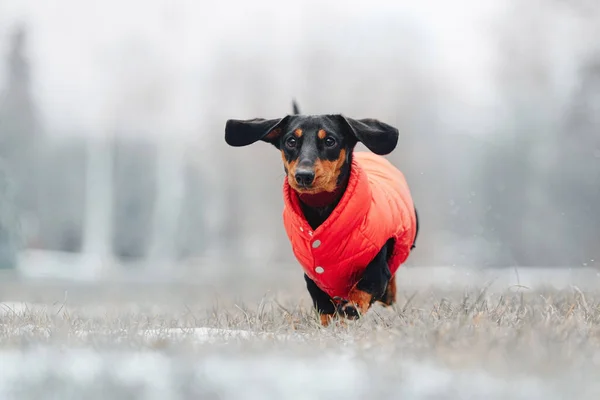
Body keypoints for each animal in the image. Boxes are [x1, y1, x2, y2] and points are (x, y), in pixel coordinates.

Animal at [224, 101, 418, 324]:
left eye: (330, 141)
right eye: (291, 141)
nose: (304, 176)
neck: (321, 206)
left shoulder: (378, 266)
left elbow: (368, 284)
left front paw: (352, 306)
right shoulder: (313, 275)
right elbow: (324, 306)